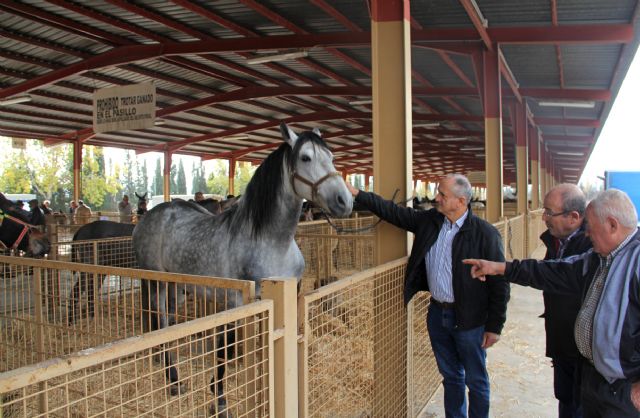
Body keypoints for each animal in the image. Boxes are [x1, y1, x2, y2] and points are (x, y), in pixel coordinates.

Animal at [134, 121, 356, 414]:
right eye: (306, 158)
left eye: (331, 157)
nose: (345, 201)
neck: (272, 242)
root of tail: (150, 215)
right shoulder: (237, 301)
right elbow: (224, 349)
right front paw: (219, 400)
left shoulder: (281, 300)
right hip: (156, 283)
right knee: (159, 322)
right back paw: (172, 382)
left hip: (177, 287)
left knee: (168, 324)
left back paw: (175, 380)